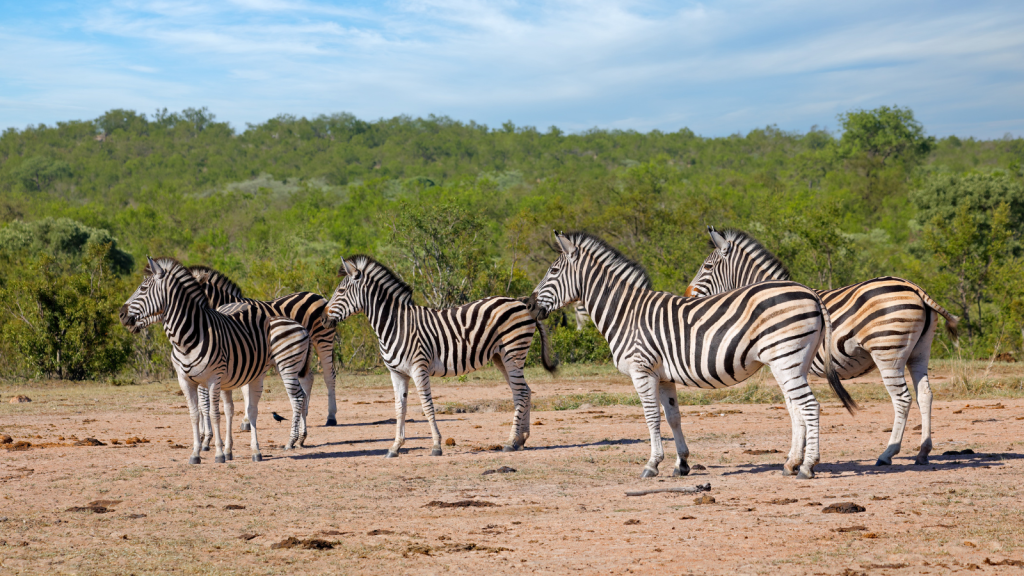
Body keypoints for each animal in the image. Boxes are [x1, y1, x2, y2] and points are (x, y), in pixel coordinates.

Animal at [119, 256, 311, 461]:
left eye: (143, 289)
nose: (121, 314)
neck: (188, 338)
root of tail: (301, 327)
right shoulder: (186, 380)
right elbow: (197, 413)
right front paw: (198, 452)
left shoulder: (212, 379)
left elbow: (212, 412)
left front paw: (215, 449)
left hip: (284, 367)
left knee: (286, 401)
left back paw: (280, 444)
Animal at [186, 264, 337, 426]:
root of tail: (317, 295)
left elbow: (245, 387)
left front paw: (246, 420)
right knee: (308, 378)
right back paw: (305, 414)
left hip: (323, 339)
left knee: (329, 375)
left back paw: (331, 417)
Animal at [321, 255, 557, 457]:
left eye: (341, 290)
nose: (322, 319)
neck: (396, 325)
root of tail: (522, 304)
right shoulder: (397, 373)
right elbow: (399, 408)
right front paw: (395, 446)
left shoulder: (419, 368)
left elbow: (427, 406)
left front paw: (436, 445)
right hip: (501, 357)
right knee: (524, 391)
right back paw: (520, 440)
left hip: (513, 353)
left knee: (521, 393)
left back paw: (510, 442)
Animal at [528, 230, 856, 477]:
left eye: (553, 271)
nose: (529, 305)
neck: (626, 313)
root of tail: (809, 291)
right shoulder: (663, 376)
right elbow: (673, 417)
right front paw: (681, 463)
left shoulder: (642, 371)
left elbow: (651, 417)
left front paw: (651, 464)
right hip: (791, 362)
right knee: (798, 407)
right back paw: (792, 463)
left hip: (787, 359)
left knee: (810, 406)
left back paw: (807, 467)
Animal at [684, 226, 954, 463]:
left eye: (707, 266)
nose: (686, 296)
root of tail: (914, 287)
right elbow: (798, 406)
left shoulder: (781, 362)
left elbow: (793, 405)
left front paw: (797, 456)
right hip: (919, 352)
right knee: (925, 395)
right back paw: (923, 452)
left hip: (888, 352)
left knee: (902, 399)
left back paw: (887, 453)